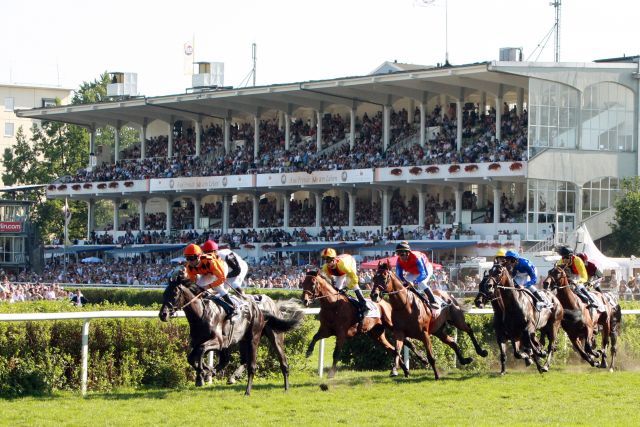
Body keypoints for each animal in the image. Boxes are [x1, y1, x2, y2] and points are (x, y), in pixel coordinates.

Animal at [158, 274, 302, 394]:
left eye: (175, 293)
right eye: (164, 293)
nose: (163, 314)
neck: (202, 314)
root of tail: (261, 308)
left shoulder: (218, 341)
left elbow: (200, 351)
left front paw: (201, 375)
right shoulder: (200, 342)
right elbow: (192, 357)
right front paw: (206, 371)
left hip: (263, 337)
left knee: (273, 363)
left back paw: (275, 388)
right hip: (242, 340)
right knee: (240, 360)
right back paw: (231, 377)